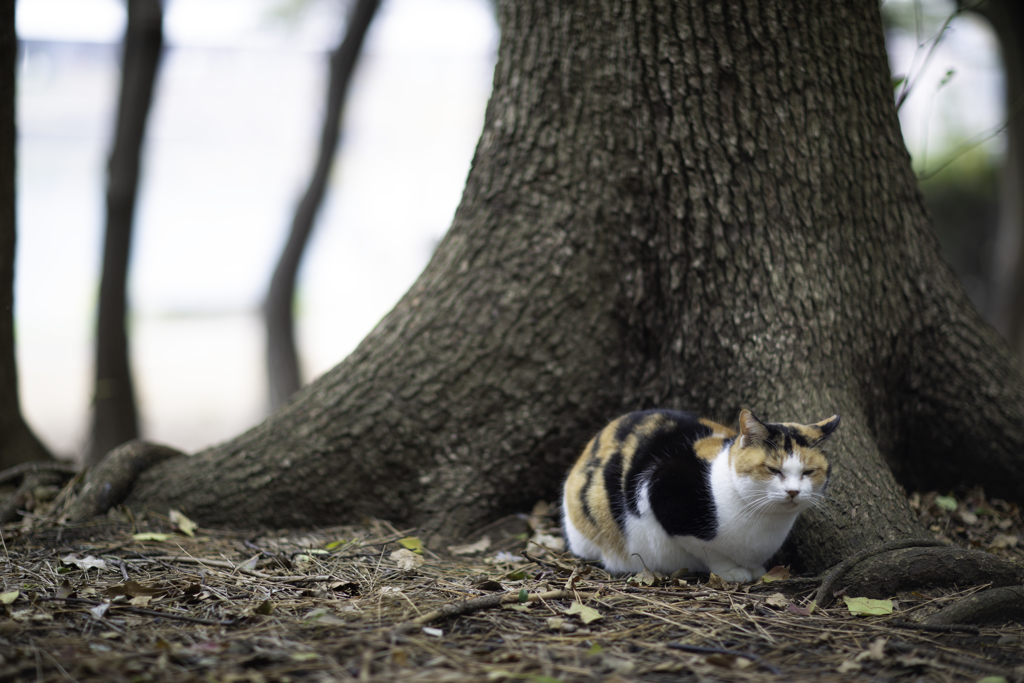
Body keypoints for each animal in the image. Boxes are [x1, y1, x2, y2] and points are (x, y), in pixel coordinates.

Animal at [561, 411, 839, 581]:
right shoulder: (663, 490)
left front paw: (756, 569)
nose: (793, 491)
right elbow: (707, 549)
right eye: (773, 470)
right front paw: (733, 572)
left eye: (808, 472)